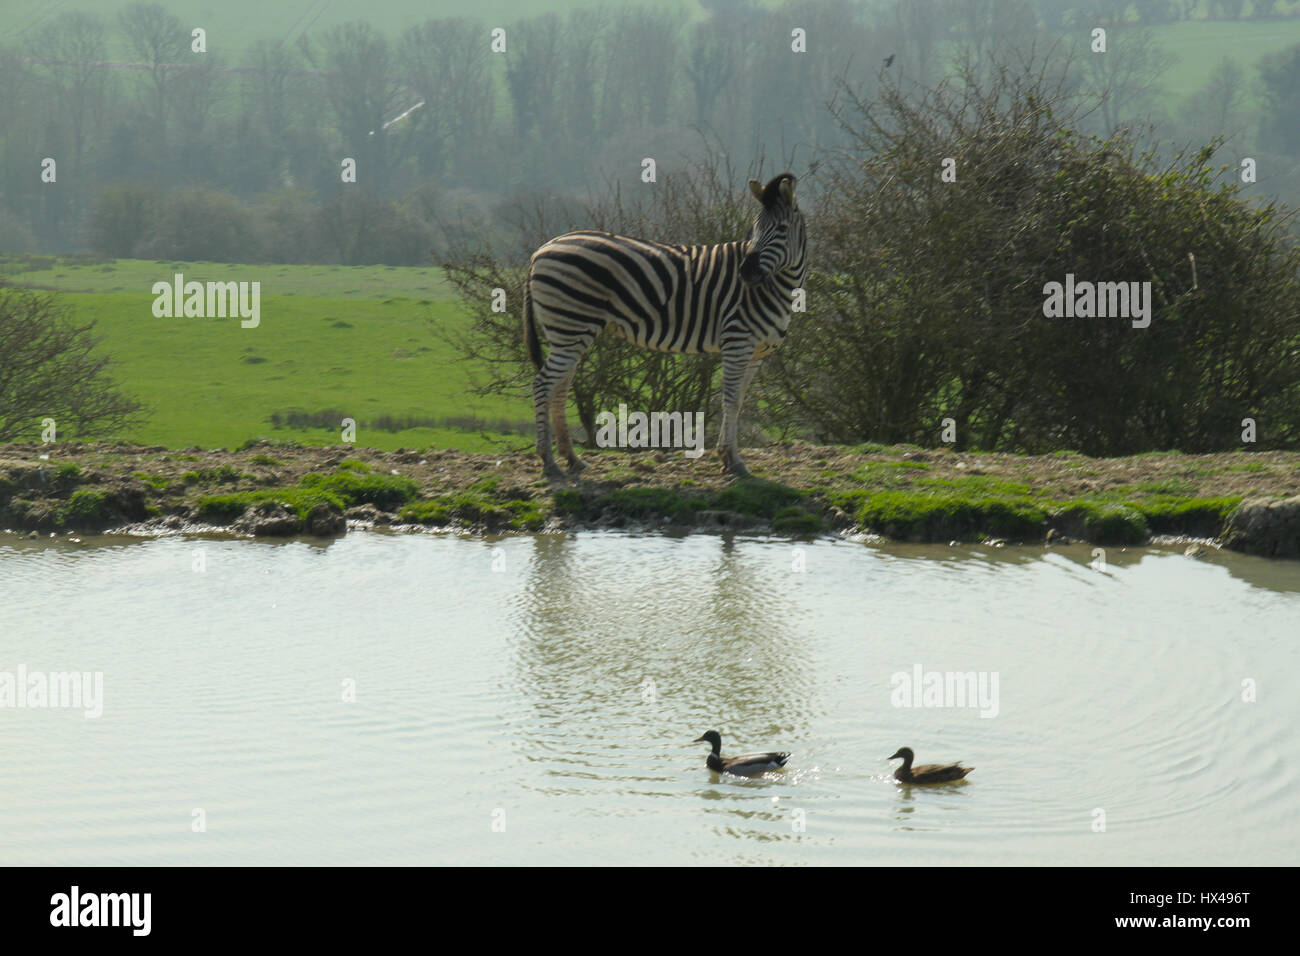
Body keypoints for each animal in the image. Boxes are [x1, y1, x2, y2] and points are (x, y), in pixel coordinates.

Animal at [523, 172, 808, 479]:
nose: (746, 272)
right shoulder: (738, 341)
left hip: (569, 333)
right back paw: (549, 461)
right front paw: (733, 459)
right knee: (543, 385)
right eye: (754, 229)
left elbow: (739, 401)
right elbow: (730, 400)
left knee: (559, 388)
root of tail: (542, 249)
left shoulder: (758, 352)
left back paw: (571, 458)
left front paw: (728, 457)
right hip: (570, 327)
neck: (777, 286)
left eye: (781, 228)